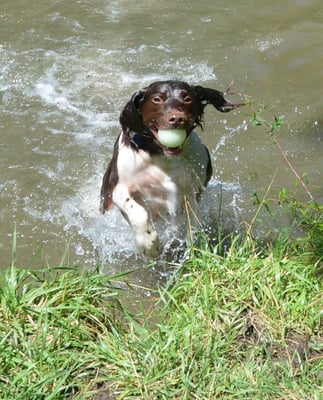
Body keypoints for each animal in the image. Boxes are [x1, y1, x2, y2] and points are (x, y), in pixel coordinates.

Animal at [100, 80, 243, 256]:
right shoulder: (118, 189)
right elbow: (138, 213)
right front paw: (148, 244)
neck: (160, 155)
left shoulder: (192, 191)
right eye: (157, 99)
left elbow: (193, 220)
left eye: (187, 98)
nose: (177, 119)